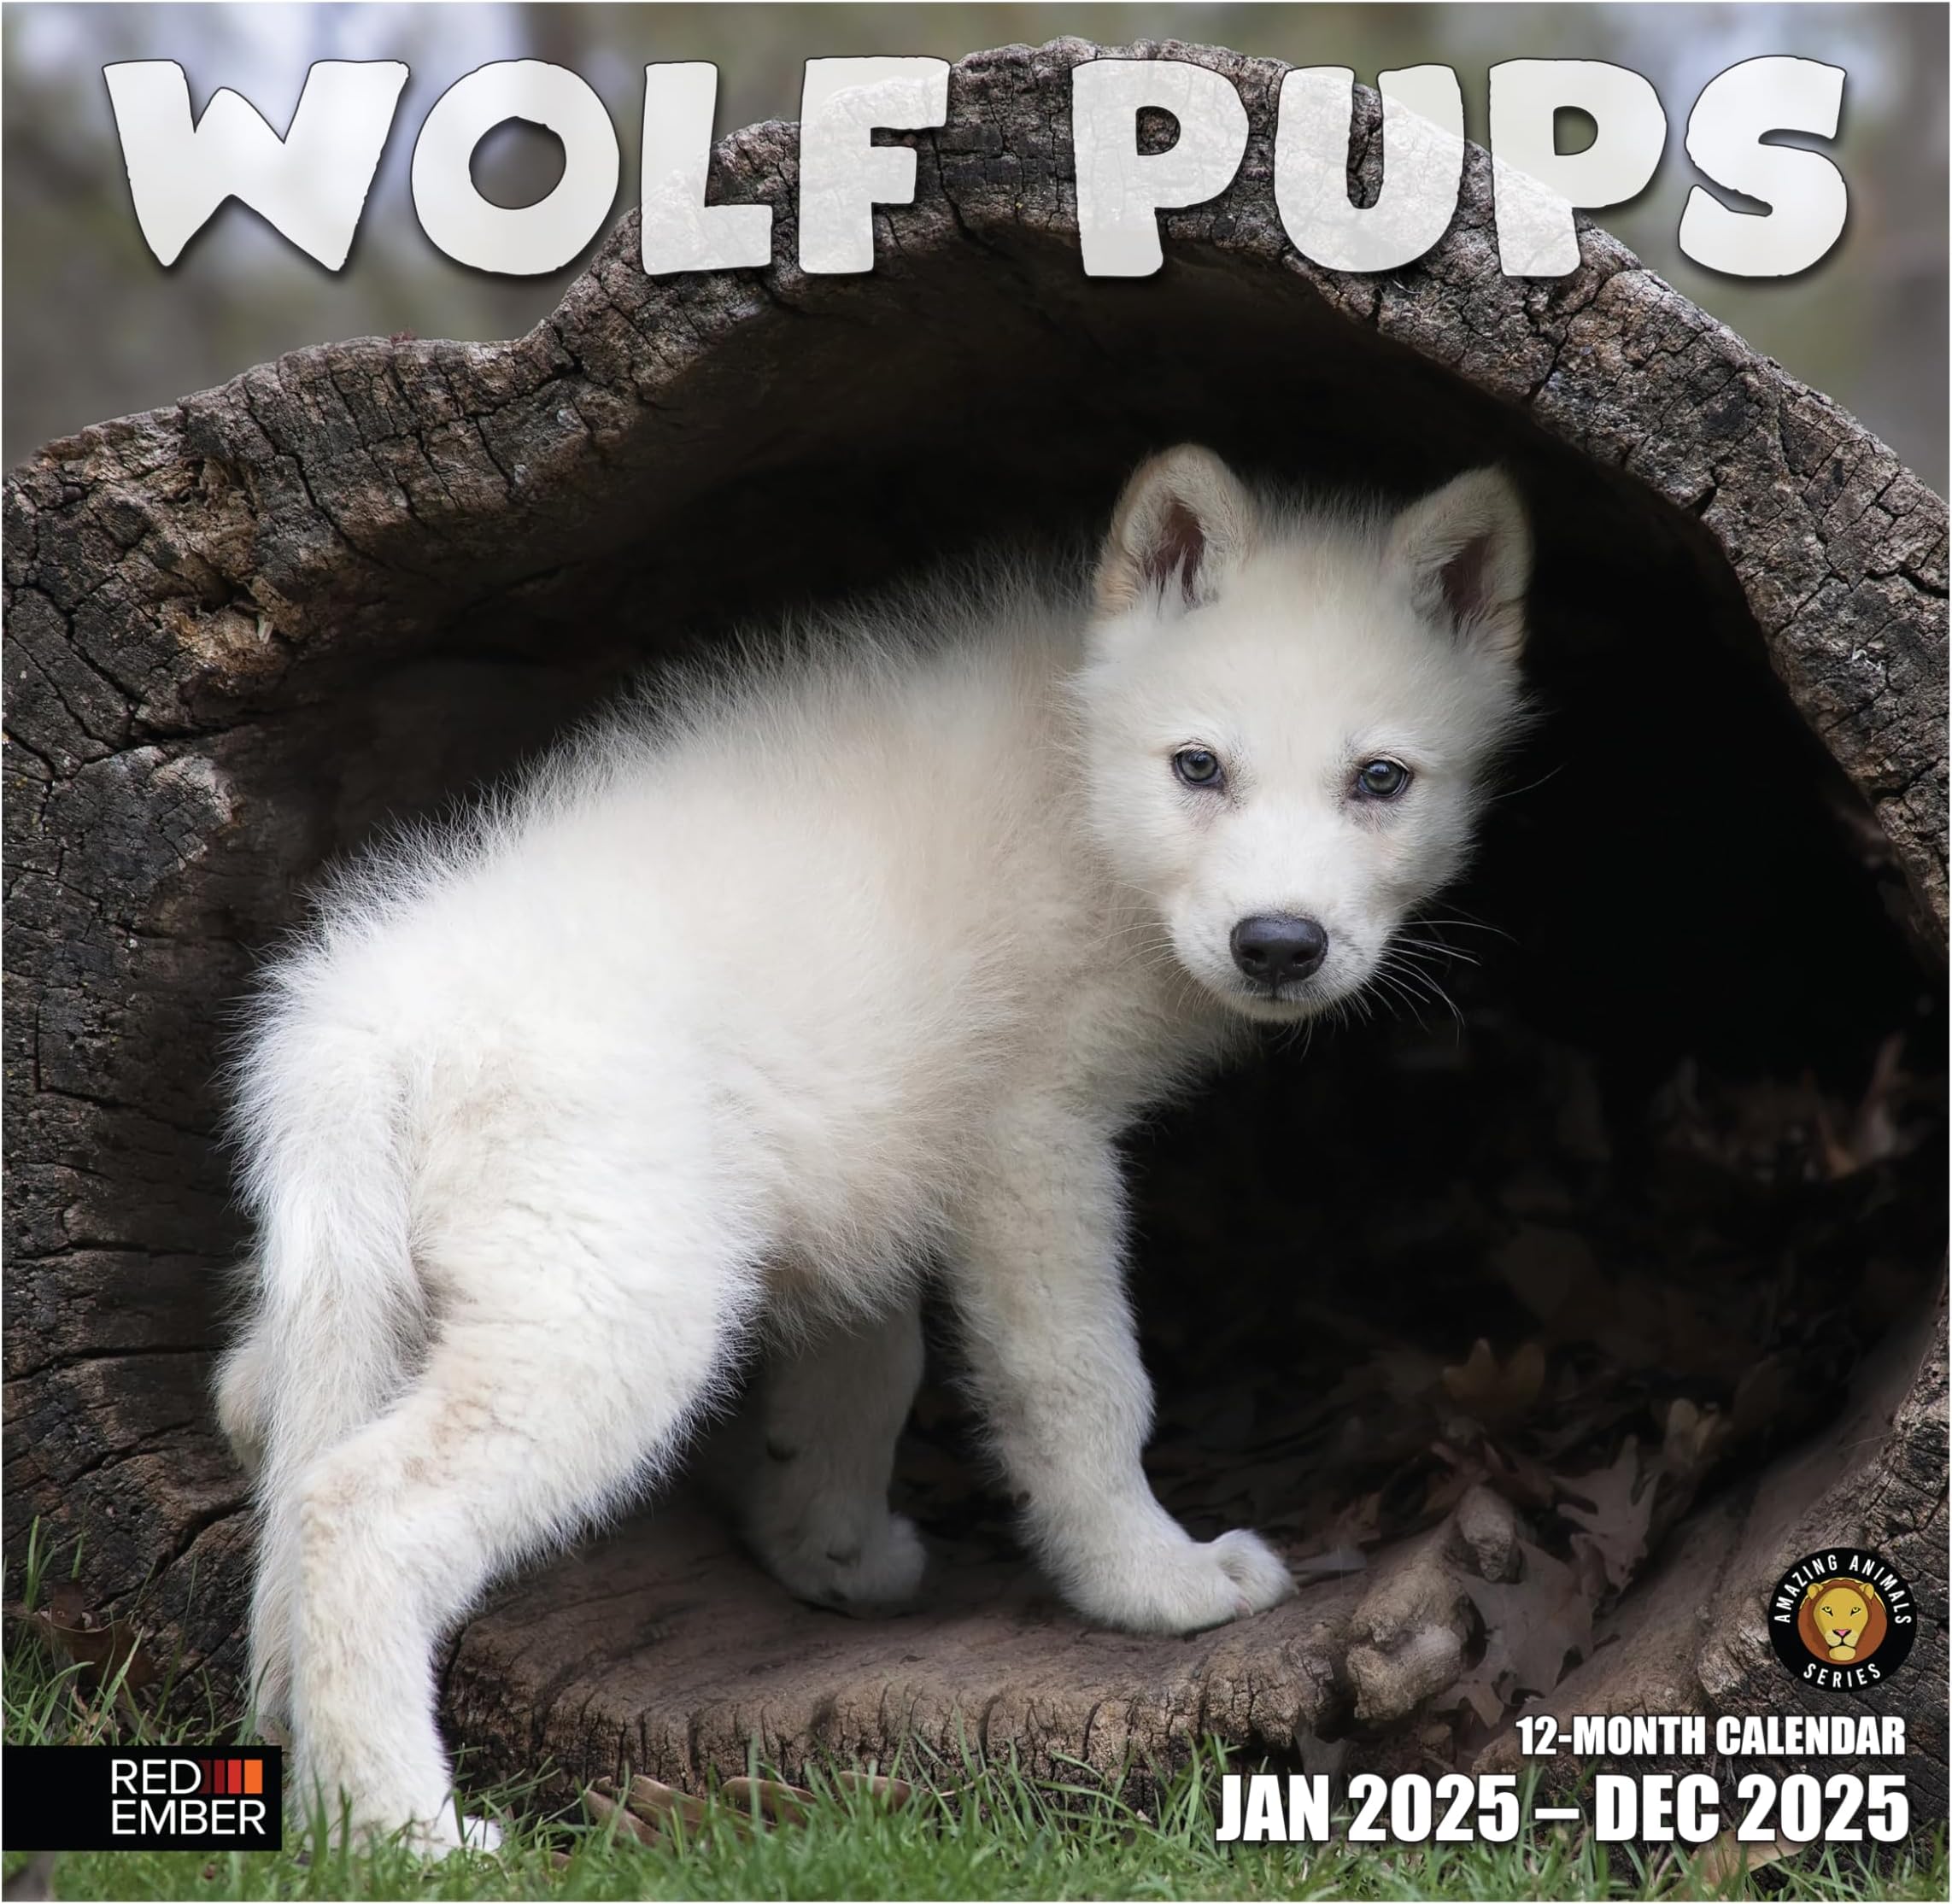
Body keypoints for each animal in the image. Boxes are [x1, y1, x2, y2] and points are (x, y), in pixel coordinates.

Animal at [215, 446, 1533, 1847]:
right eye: (1197, 767)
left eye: (1380, 781)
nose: (1277, 944)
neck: (1078, 778)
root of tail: (367, 1022)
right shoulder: (1032, 1140)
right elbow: (1079, 1387)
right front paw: (1150, 1584)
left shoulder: (882, 1143)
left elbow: (867, 1361)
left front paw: (827, 1545)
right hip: (613, 1315)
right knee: (356, 1513)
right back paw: (400, 1834)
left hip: (391, 1291)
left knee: (255, 1413)